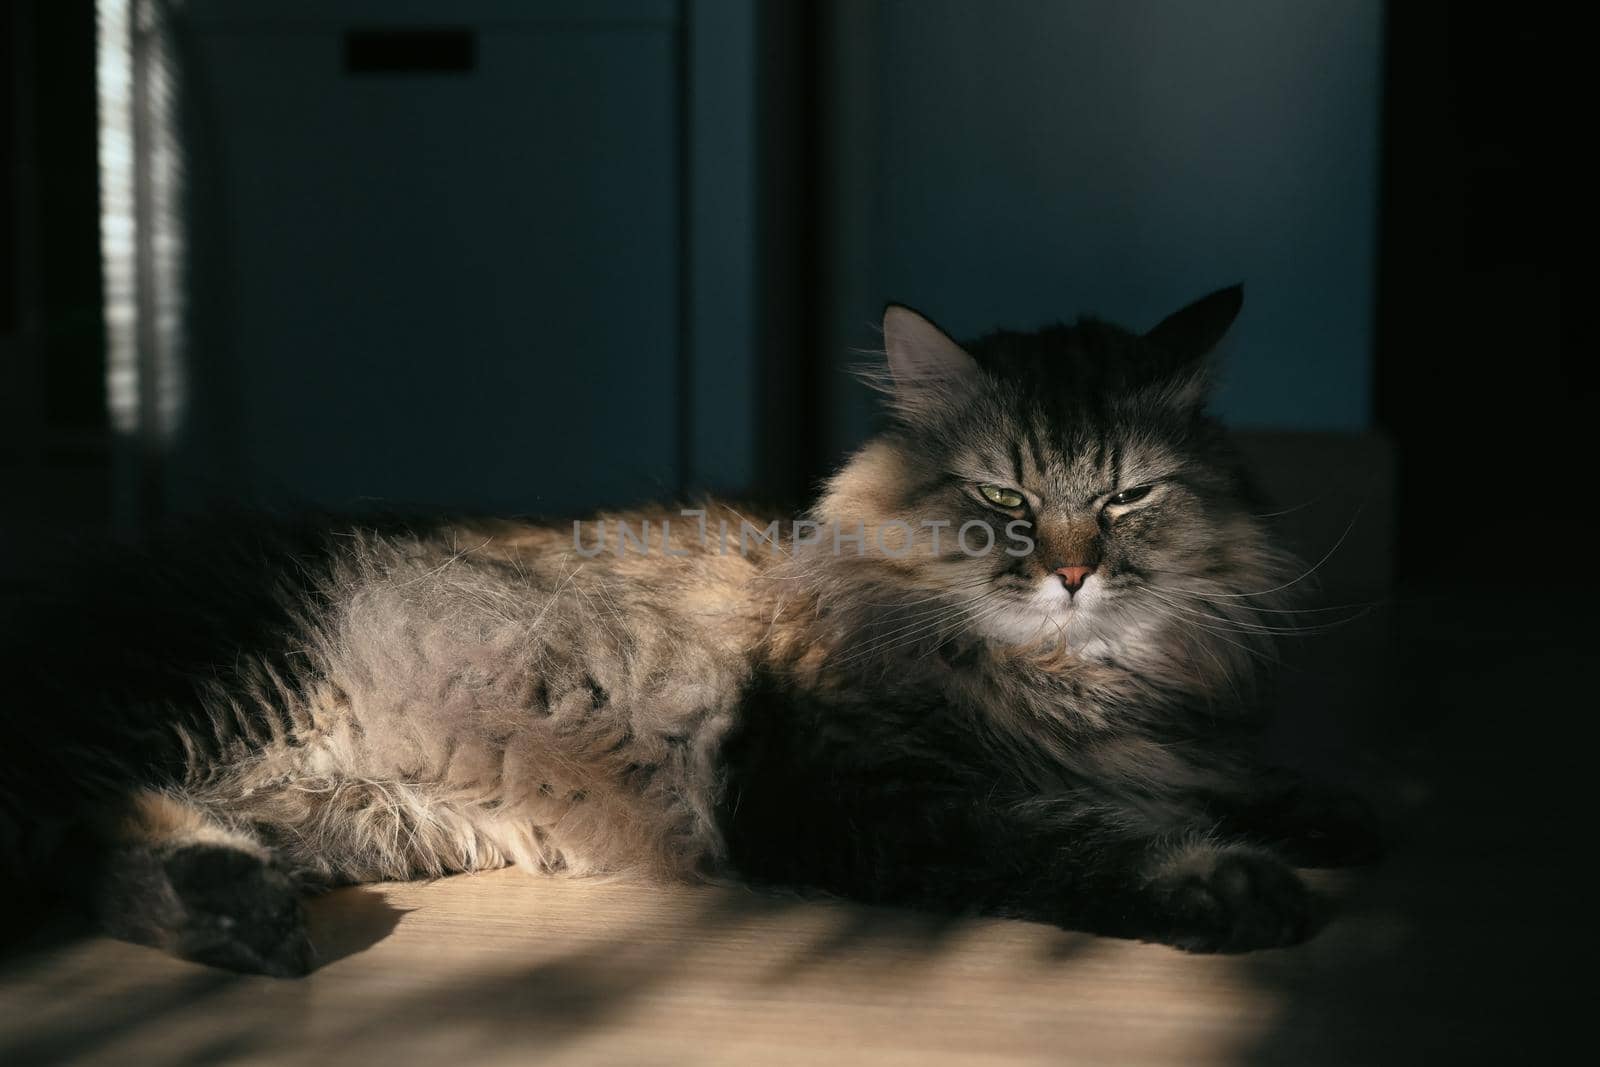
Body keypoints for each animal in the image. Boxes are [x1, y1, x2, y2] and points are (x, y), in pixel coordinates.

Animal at [0, 286, 1376, 979]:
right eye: (1004, 496)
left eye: (1128, 495)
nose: (1074, 573)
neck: (1071, 678)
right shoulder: (853, 794)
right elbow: (1070, 836)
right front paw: (1224, 880)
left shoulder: (1148, 742)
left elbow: (1219, 779)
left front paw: (1329, 813)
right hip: (206, 698)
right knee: (76, 819)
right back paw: (230, 916)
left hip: (336, 809)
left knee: (89, 842)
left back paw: (236, 910)